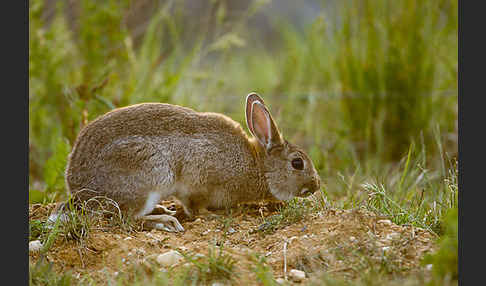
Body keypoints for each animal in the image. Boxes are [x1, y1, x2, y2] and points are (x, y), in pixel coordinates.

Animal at [53, 92, 320, 231]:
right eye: (297, 163)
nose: (316, 186)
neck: (258, 166)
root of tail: (79, 189)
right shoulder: (200, 180)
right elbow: (195, 206)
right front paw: (213, 216)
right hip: (150, 176)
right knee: (126, 218)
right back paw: (165, 220)